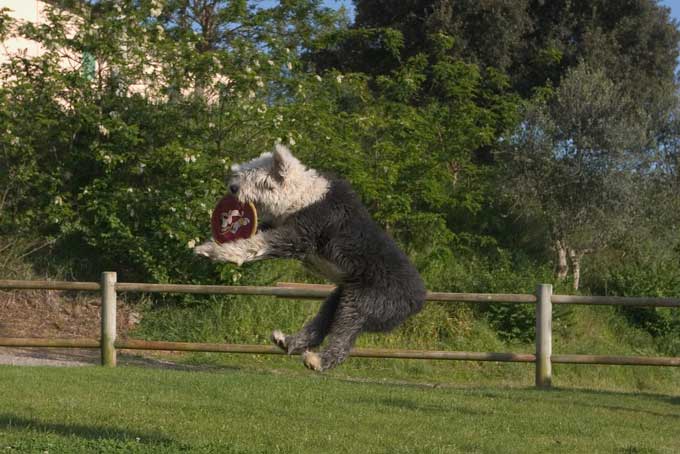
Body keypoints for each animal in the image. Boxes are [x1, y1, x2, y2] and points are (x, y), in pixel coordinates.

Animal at [194, 144, 424, 370]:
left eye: (256, 178)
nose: (233, 188)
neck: (303, 195)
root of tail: (418, 300)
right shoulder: (279, 223)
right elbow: (257, 233)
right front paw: (211, 243)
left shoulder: (301, 235)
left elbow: (257, 244)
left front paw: (217, 252)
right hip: (338, 298)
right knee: (320, 326)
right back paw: (287, 341)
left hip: (363, 303)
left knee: (343, 339)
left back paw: (317, 361)